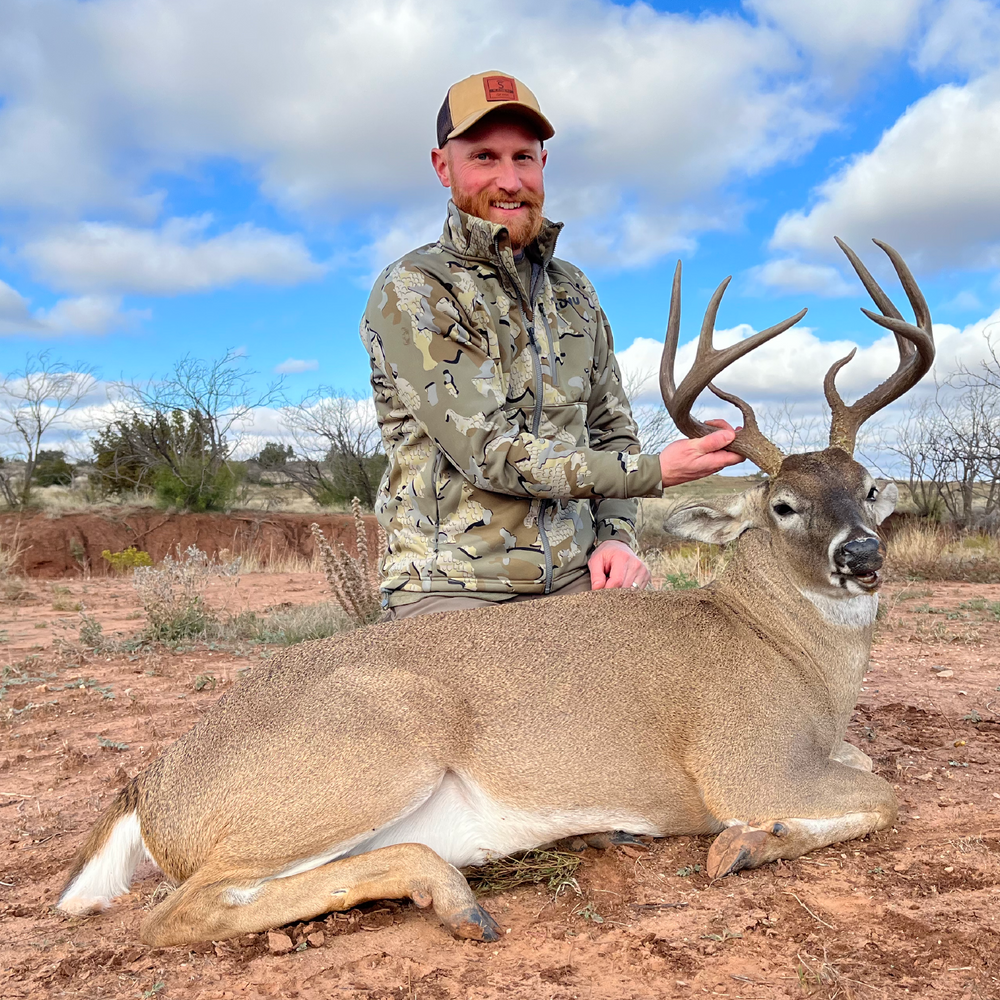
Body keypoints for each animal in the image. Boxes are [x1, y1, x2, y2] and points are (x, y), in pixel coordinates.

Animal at [57, 238, 934, 948]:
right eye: (781, 505)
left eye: (870, 487)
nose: (862, 554)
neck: (787, 656)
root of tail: (152, 788)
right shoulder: (742, 763)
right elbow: (885, 795)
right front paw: (747, 843)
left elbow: (872, 771)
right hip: (372, 748)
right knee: (175, 911)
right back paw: (453, 893)